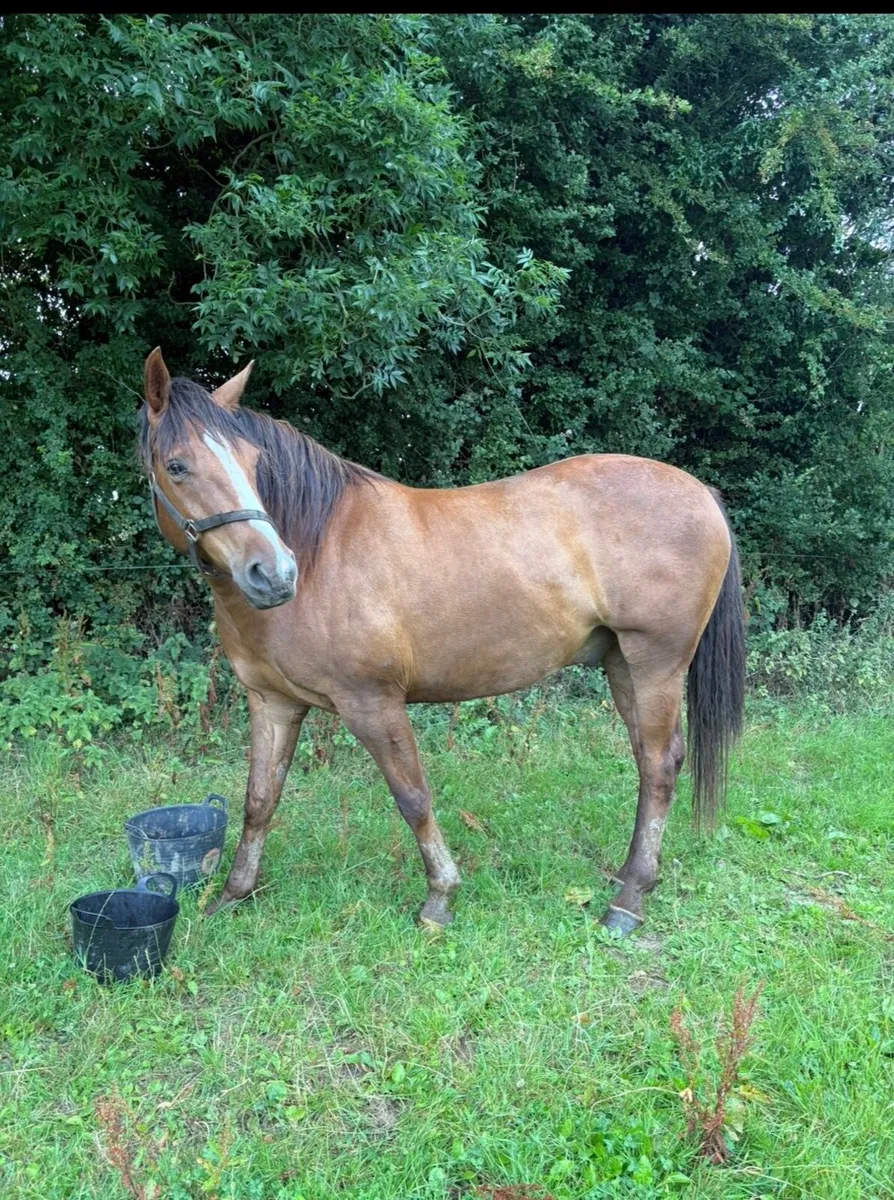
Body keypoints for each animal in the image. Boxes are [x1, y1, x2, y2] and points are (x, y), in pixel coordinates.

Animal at [139, 348, 745, 935]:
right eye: (177, 466)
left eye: (252, 463)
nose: (273, 573)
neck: (319, 551)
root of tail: (701, 493)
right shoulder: (273, 703)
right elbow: (259, 800)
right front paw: (232, 895)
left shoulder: (371, 702)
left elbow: (412, 796)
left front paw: (440, 898)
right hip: (622, 663)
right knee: (651, 759)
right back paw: (630, 876)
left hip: (656, 661)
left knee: (659, 764)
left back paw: (628, 900)